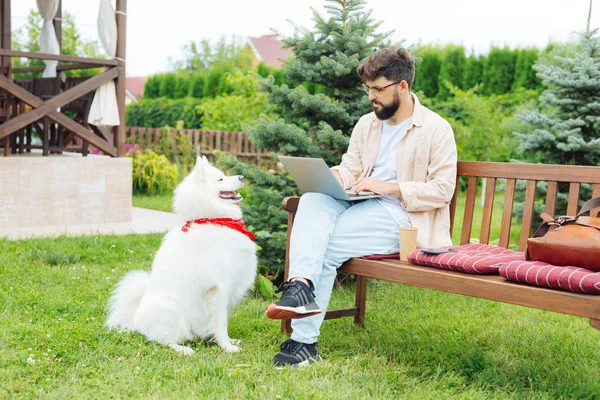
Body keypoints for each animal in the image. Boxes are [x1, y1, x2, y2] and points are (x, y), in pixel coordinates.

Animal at [106, 156, 256, 354]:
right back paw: (183, 350)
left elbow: (219, 323)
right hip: (171, 310)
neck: (214, 219)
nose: (242, 177)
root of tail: (135, 321)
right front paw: (227, 347)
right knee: (162, 341)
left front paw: (229, 341)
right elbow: (221, 322)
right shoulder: (219, 288)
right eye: (220, 179)